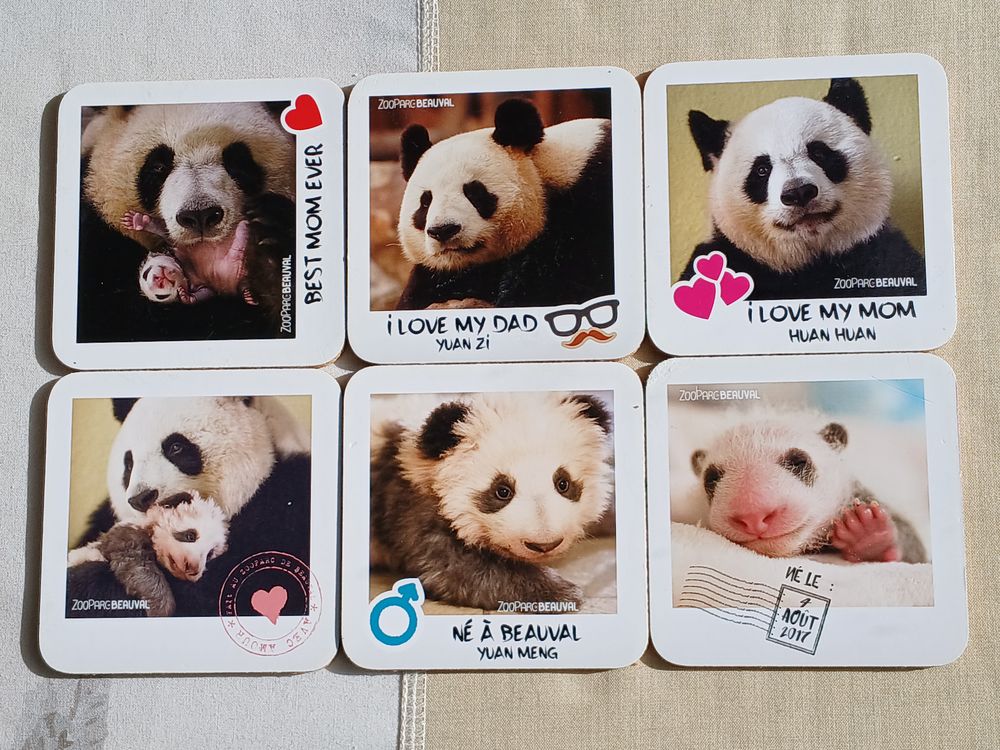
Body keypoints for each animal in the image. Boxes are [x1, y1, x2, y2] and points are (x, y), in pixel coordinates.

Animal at [370, 392, 614, 610]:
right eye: (502, 491)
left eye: (563, 483)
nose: (544, 544)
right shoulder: (409, 505)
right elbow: (457, 569)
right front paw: (560, 593)